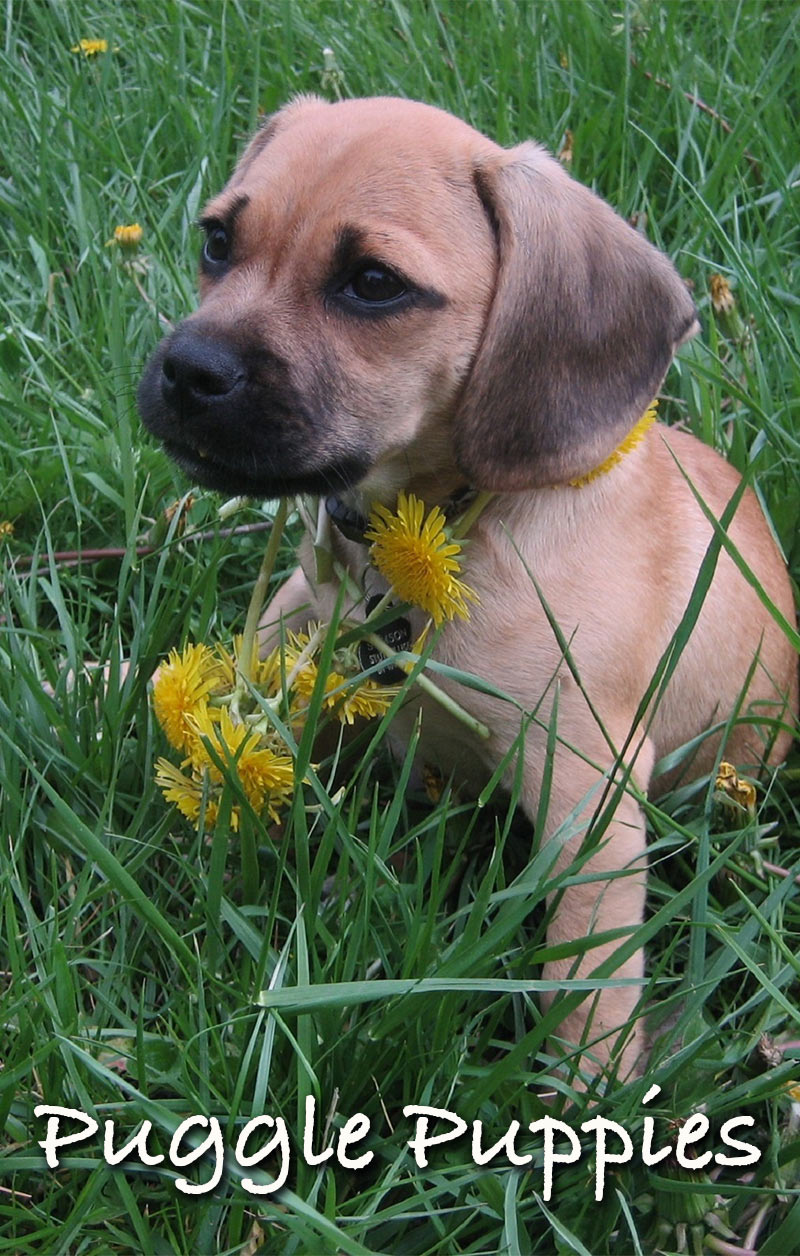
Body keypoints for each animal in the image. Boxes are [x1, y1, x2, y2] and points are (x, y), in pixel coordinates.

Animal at [140, 95, 793, 1080]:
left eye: (373, 284)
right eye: (218, 240)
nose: (187, 369)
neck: (448, 526)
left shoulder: (588, 789)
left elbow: (588, 960)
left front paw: (587, 1084)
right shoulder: (302, 620)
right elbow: (216, 665)